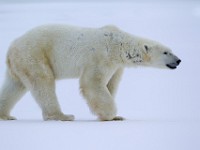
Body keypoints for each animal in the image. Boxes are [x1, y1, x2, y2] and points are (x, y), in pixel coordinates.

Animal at [0, 24, 180, 120]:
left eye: (171, 50)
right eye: (166, 52)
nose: (179, 60)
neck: (120, 45)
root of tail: (11, 48)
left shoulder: (117, 66)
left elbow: (110, 84)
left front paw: (117, 117)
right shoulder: (102, 56)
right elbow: (92, 83)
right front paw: (109, 114)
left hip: (20, 64)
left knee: (13, 87)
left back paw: (6, 115)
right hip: (35, 55)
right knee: (43, 83)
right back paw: (63, 116)